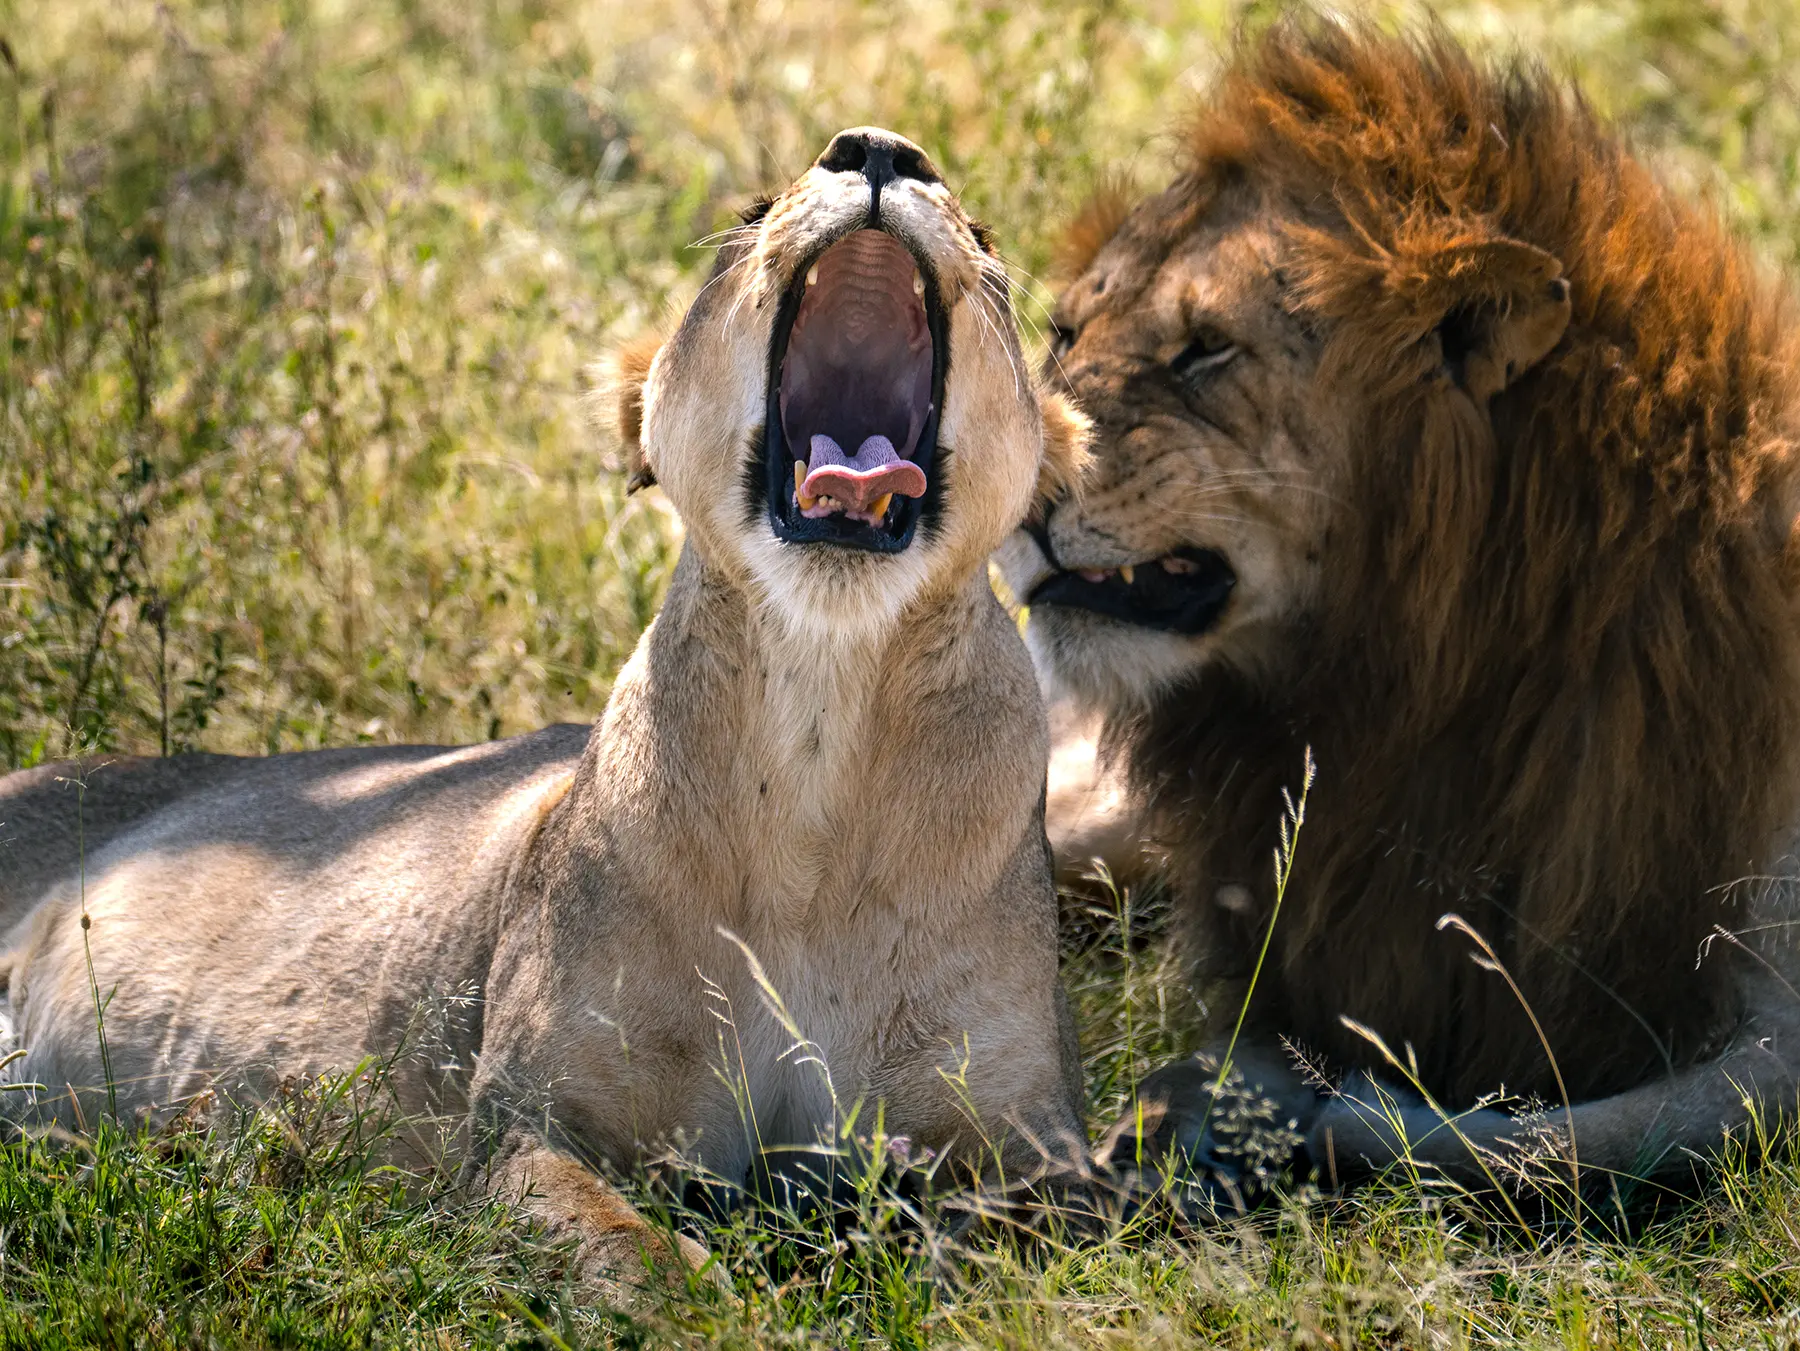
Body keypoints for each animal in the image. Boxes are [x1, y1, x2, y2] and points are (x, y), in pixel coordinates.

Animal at [0, 126, 1094, 1293]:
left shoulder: (1046, 1164)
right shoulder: (529, 1126)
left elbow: (992, 1265)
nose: (880, 148)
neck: (818, 726)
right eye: (753, 213)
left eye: (984, 237)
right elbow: (642, 1265)